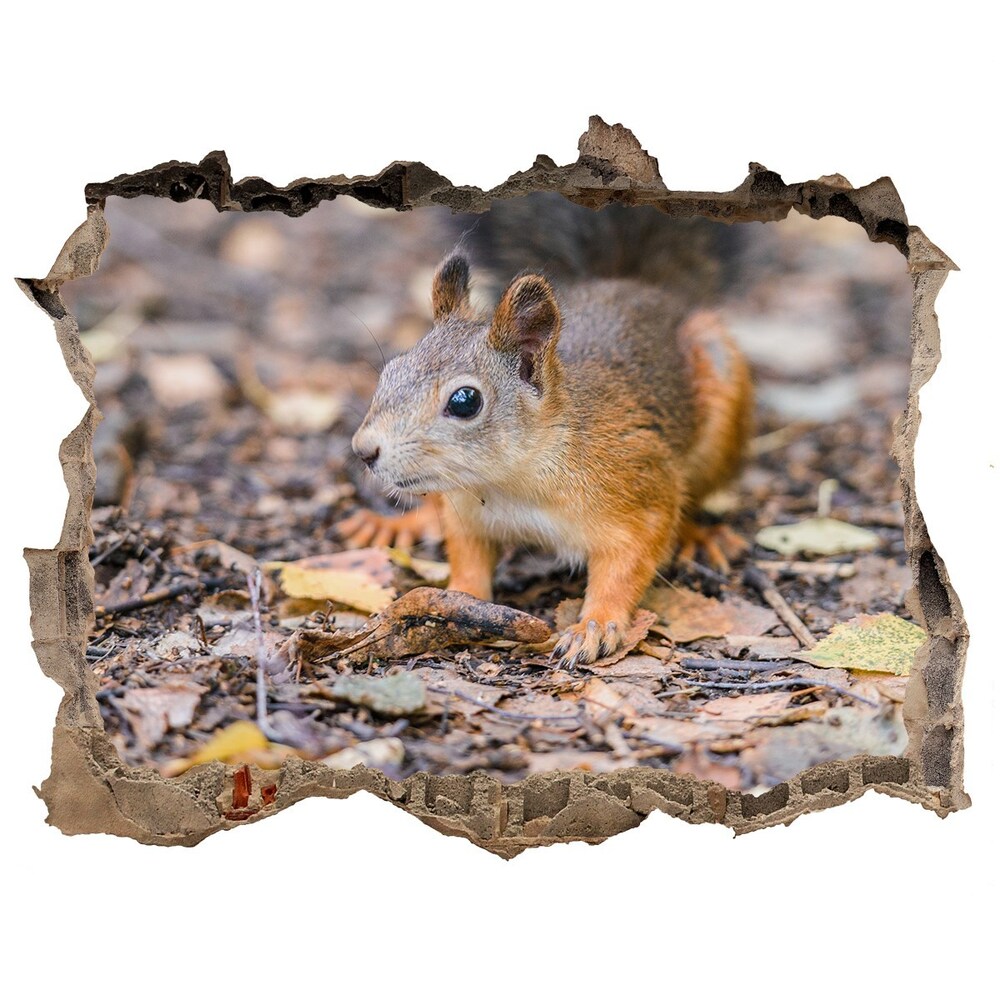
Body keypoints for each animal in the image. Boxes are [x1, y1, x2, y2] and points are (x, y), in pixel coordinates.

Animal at [340, 194, 752, 664]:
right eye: (390, 370)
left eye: (465, 401)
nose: (364, 450)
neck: (513, 482)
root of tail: (635, 285)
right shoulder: (465, 512)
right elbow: (467, 557)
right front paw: (455, 599)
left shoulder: (641, 483)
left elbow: (628, 562)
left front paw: (594, 625)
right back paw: (402, 523)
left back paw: (698, 535)